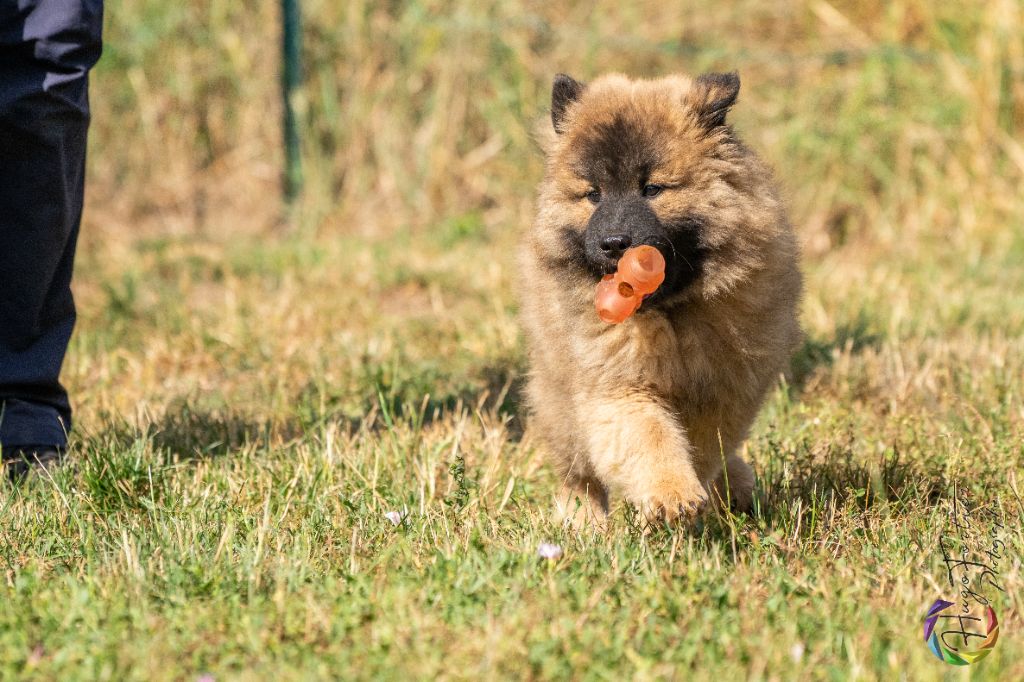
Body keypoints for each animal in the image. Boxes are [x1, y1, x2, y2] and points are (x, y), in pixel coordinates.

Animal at [520, 71, 798, 524]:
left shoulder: (727, 387)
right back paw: (581, 521)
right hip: (557, 391)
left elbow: (704, 443)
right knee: (579, 471)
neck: (671, 311)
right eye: (593, 194)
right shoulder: (618, 385)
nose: (614, 244)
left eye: (652, 189)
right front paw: (672, 495)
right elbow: (648, 435)